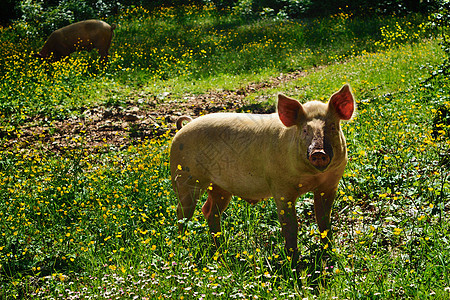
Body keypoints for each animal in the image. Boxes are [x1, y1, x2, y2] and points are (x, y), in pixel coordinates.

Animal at [171, 84, 356, 260]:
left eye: (332, 127)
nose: (318, 152)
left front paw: (330, 251)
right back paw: (183, 247)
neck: (312, 176)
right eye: (305, 130)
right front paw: (293, 262)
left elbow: (324, 220)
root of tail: (181, 129)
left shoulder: (329, 185)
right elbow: (290, 226)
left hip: (219, 187)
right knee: (182, 213)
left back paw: (221, 250)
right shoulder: (281, 188)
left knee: (209, 211)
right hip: (184, 178)